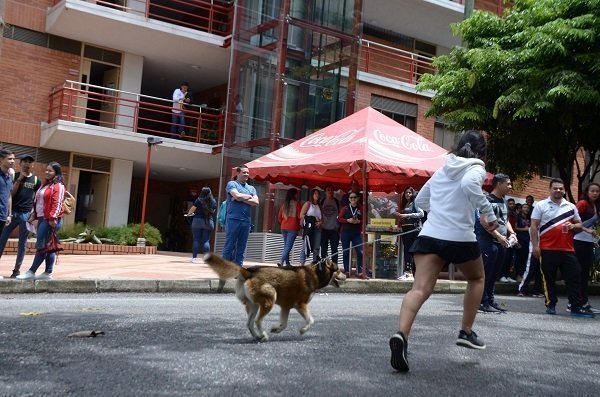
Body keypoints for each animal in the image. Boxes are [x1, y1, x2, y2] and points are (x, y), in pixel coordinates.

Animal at [204, 254, 340, 340]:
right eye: (339, 270)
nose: (344, 273)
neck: (315, 272)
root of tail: (249, 271)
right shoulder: (301, 305)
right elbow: (310, 320)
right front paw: (303, 330)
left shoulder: (286, 307)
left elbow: (284, 324)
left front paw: (276, 329)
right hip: (270, 298)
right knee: (258, 321)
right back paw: (263, 335)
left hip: (253, 305)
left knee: (249, 323)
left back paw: (258, 337)